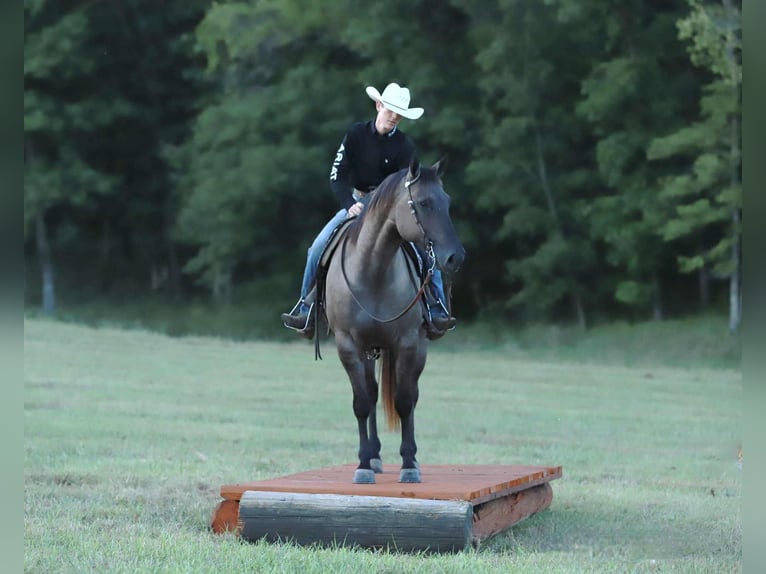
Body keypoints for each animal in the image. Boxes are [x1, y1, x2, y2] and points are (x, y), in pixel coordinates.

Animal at [322, 157, 465, 484]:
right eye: (424, 203)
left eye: (448, 202)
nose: (456, 257)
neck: (372, 269)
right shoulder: (348, 346)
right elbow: (362, 402)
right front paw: (363, 465)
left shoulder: (409, 344)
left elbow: (404, 401)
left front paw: (409, 464)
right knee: (373, 393)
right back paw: (374, 456)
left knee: (410, 396)